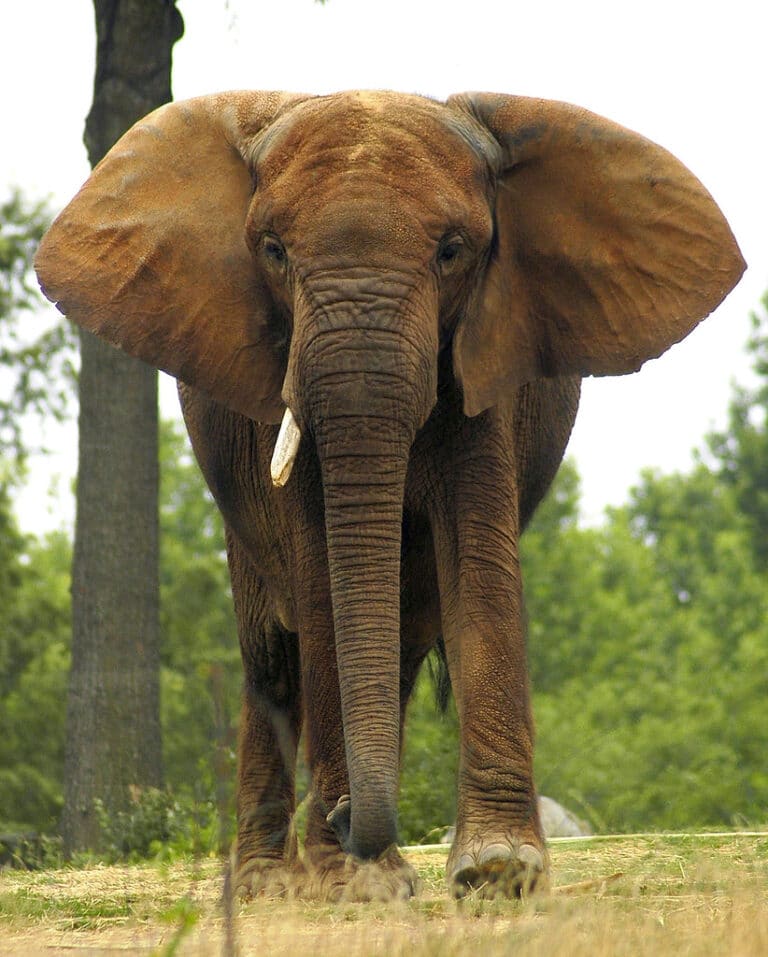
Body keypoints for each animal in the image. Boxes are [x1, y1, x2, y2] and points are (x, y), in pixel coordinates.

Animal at [35, 89, 744, 901]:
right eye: (273, 250)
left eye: (453, 250)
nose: (345, 816)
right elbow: (320, 583)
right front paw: (359, 881)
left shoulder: (487, 359)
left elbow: (479, 566)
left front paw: (498, 871)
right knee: (272, 654)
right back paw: (266, 885)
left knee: (396, 645)